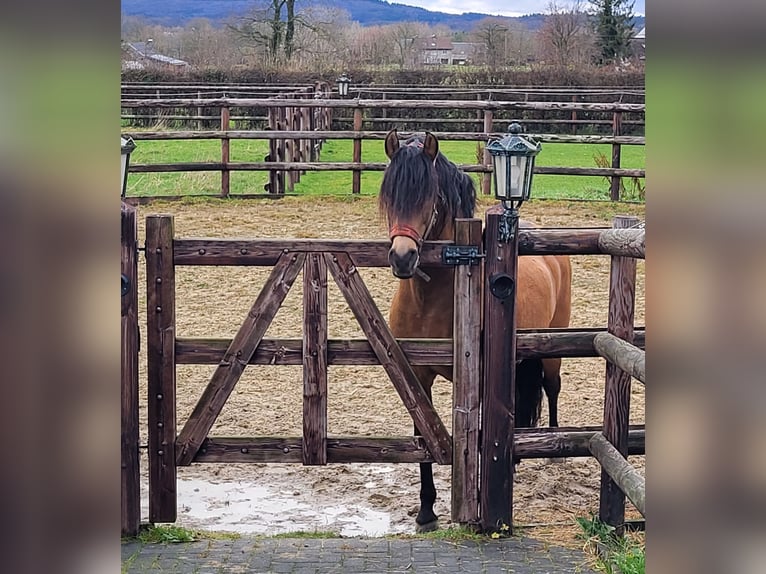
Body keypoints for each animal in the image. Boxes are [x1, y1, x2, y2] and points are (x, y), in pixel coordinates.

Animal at [380, 130, 572, 536]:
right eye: (389, 195)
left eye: (431, 197)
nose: (402, 258)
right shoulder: (417, 376)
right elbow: (424, 436)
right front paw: (426, 512)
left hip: (552, 348)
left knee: (551, 388)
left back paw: (554, 449)